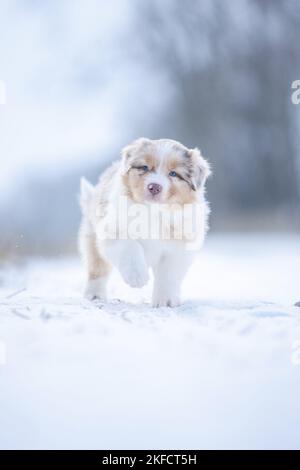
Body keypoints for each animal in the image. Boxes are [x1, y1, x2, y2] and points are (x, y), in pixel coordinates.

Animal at [79, 138, 211, 306]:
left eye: (173, 173)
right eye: (144, 167)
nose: (154, 187)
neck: (153, 212)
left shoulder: (178, 248)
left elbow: (168, 274)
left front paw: (165, 301)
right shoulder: (112, 229)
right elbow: (129, 247)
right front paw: (137, 277)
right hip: (93, 240)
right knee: (97, 270)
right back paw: (95, 295)